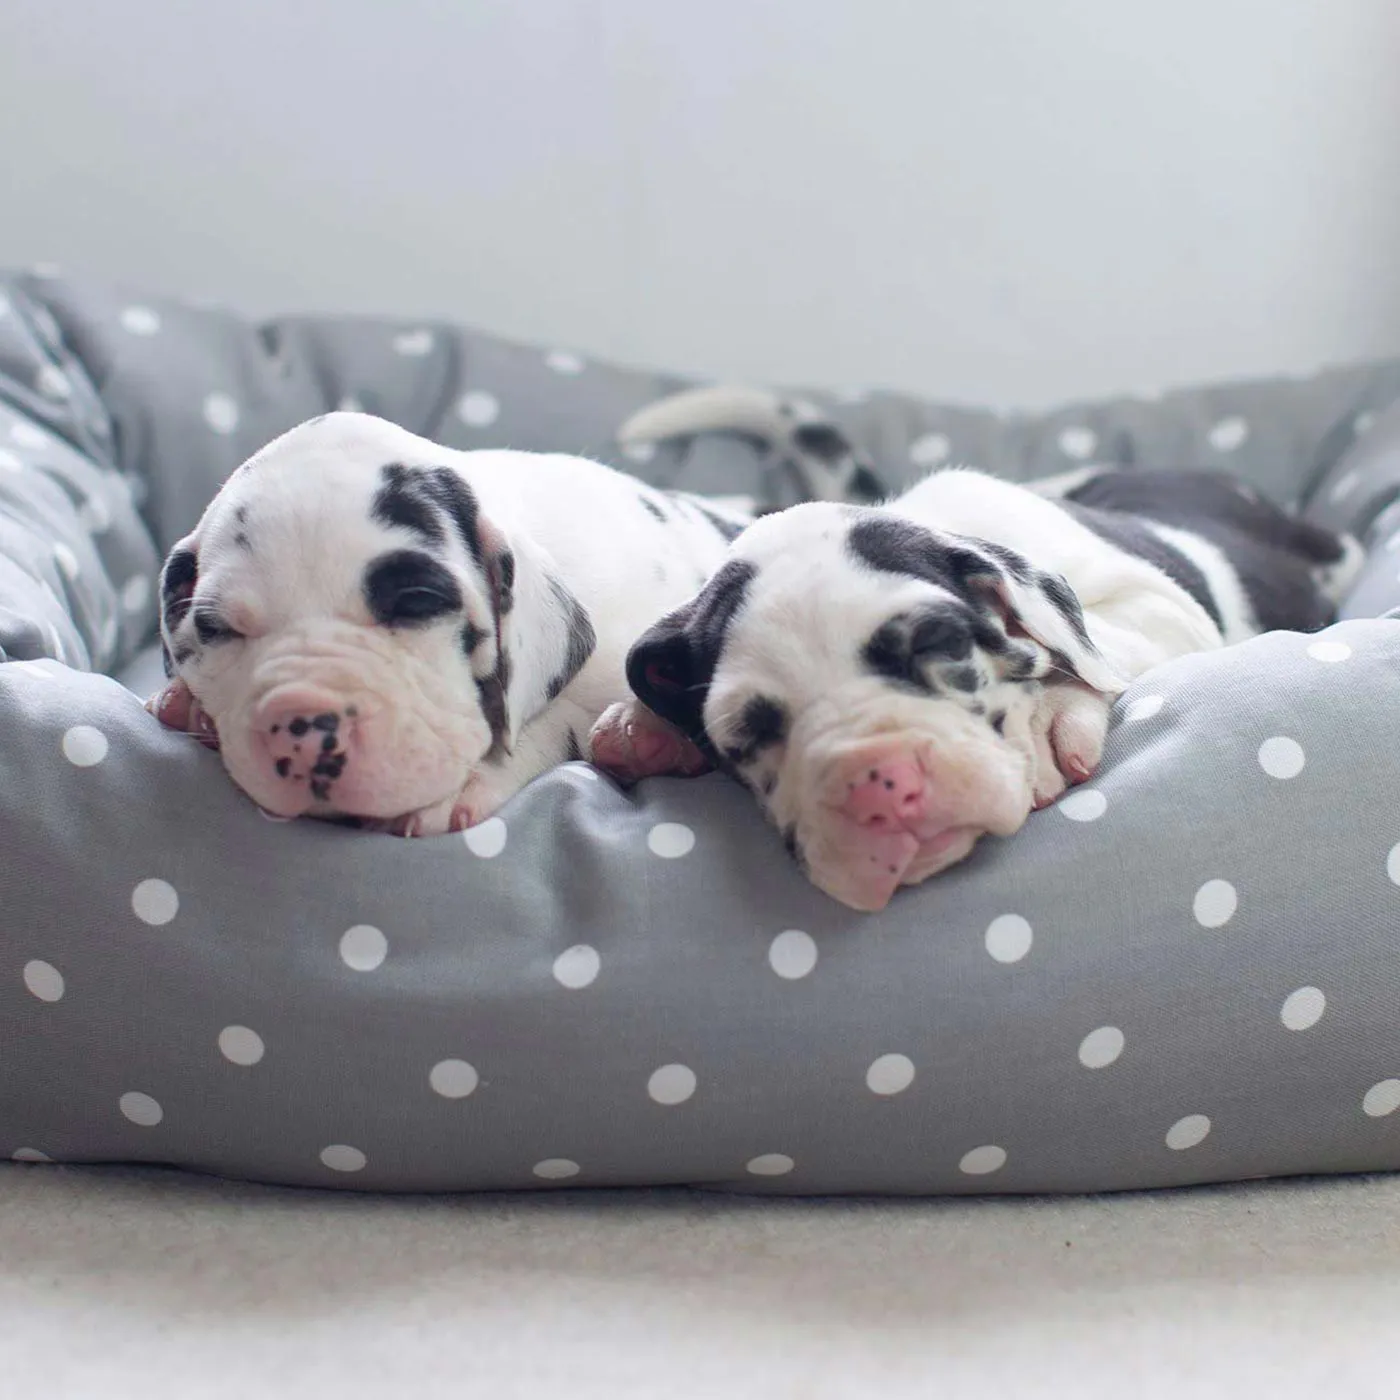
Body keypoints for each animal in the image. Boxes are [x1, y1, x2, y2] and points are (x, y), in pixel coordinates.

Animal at [147, 408, 750, 834]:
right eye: (217, 629)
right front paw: (188, 704)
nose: (303, 727)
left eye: (416, 602)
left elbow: (557, 718)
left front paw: (473, 777)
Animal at [596, 386, 1360, 907]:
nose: (878, 786)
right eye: (747, 736)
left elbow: (1094, 647)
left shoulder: (1159, 605)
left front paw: (1050, 714)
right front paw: (645, 728)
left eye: (936, 642)